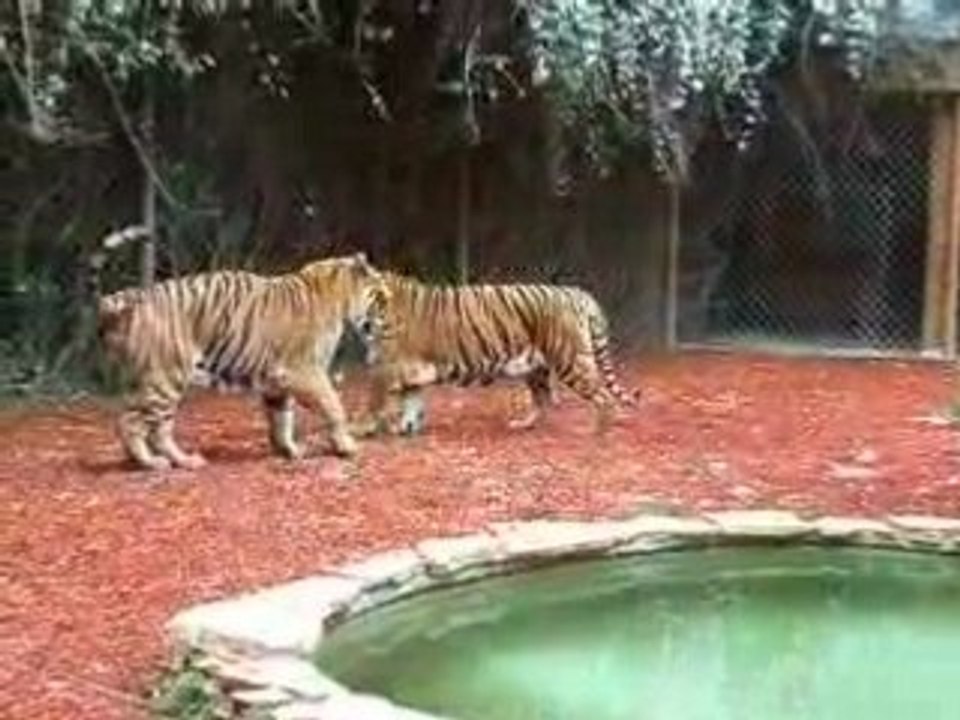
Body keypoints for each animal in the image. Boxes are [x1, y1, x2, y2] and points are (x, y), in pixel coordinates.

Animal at [89, 226, 389, 471]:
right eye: (382, 298)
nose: (389, 324)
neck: (337, 295)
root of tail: (132, 296)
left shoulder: (278, 381)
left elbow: (282, 418)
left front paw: (289, 450)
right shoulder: (305, 370)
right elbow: (333, 405)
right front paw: (345, 446)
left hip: (163, 382)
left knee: (157, 428)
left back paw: (182, 461)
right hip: (167, 378)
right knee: (131, 423)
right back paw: (152, 463)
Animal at [351, 271, 639, 438]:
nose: (354, 318)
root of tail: (578, 293)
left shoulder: (386, 368)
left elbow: (374, 402)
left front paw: (361, 429)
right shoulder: (408, 370)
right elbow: (412, 401)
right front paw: (407, 427)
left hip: (570, 361)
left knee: (603, 396)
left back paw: (597, 432)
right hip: (535, 369)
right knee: (543, 399)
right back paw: (524, 425)